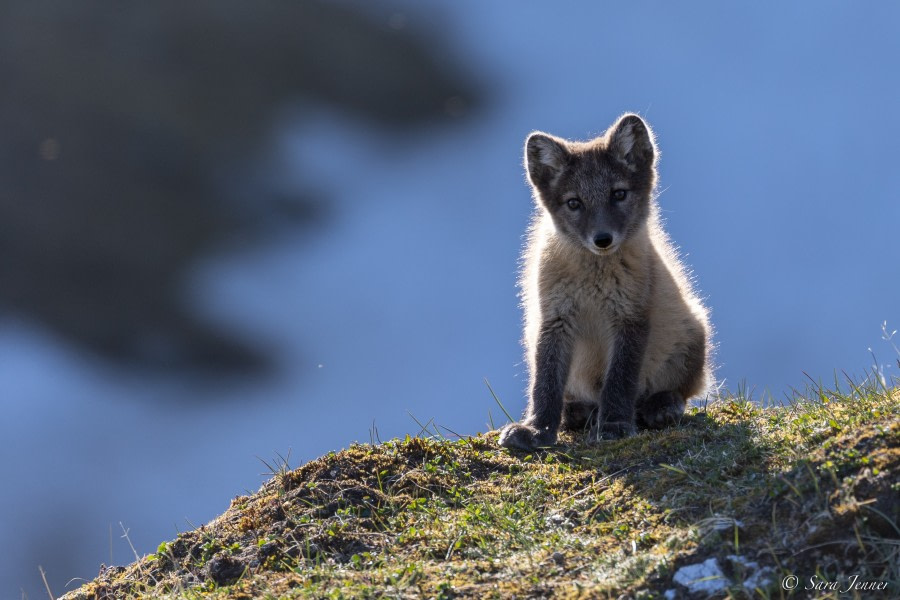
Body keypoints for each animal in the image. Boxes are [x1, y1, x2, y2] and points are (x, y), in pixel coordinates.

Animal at [496, 113, 712, 450]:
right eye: (574, 203)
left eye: (618, 194)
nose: (602, 239)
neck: (592, 282)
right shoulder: (554, 319)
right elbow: (545, 384)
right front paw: (537, 429)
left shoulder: (631, 316)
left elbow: (619, 381)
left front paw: (614, 425)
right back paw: (577, 412)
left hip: (693, 331)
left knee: (678, 391)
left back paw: (660, 406)